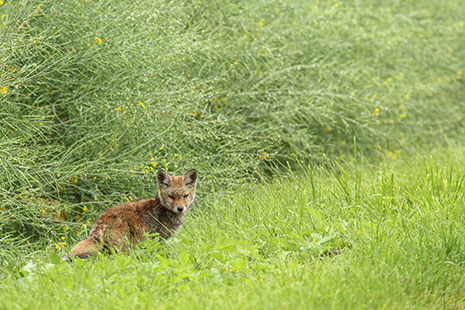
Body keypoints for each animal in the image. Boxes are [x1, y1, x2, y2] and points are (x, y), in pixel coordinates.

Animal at [64, 168, 197, 260]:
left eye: (185, 196)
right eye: (171, 196)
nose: (180, 208)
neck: (164, 211)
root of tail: (102, 219)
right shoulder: (159, 240)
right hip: (121, 248)